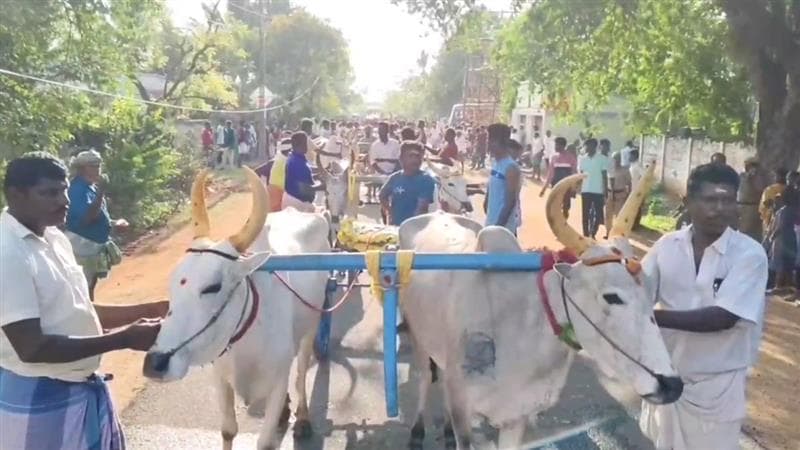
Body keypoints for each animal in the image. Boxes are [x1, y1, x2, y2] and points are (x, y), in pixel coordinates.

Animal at [144, 167, 332, 450]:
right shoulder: (221, 377)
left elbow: (264, 441)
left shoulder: (277, 380)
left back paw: (302, 419)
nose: (155, 363)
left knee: (300, 374)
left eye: (213, 286)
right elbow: (228, 430)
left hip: (310, 327)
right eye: (173, 282)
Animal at [396, 165, 680, 450]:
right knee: (425, 377)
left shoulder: (517, 416)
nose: (671, 385)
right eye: (612, 297)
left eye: (651, 294)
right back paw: (417, 431)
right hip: (419, 335)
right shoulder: (463, 410)